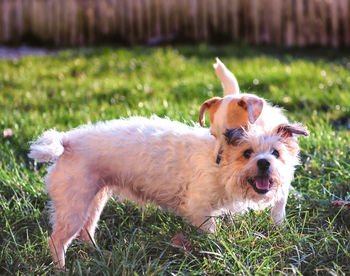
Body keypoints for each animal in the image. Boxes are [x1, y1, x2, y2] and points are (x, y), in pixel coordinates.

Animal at [28, 111, 308, 268]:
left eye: (276, 153)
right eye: (247, 153)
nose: (264, 163)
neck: (220, 163)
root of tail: (67, 141)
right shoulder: (201, 211)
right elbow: (212, 236)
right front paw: (218, 250)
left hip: (94, 200)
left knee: (87, 231)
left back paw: (98, 253)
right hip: (73, 206)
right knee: (56, 240)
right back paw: (61, 269)